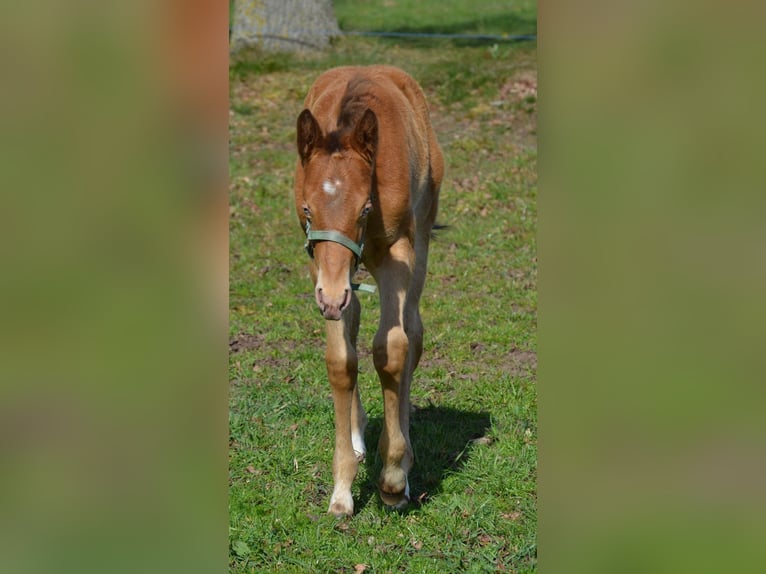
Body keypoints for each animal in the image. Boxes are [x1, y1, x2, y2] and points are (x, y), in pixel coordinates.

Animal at [293, 65, 444, 517]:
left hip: (419, 240)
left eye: (364, 209)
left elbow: (391, 351)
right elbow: (341, 361)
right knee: (357, 319)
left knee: (413, 334)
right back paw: (360, 437)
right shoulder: (321, 267)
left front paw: (393, 478)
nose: (330, 297)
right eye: (307, 209)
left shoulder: (397, 255)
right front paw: (343, 487)